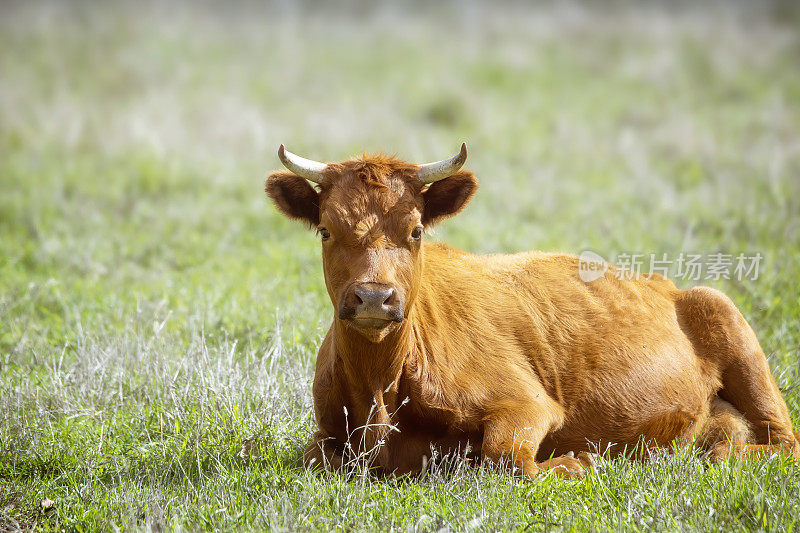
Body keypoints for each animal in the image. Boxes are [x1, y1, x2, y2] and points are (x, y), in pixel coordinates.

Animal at [268, 144, 800, 478]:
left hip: (728, 321)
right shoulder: (326, 430)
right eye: (326, 230)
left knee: (780, 443)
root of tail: (665, 284)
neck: (381, 386)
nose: (375, 297)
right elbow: (313, 455)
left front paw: (575, 463)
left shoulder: (527, 403)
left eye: (416, 230)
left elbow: (505, 456)